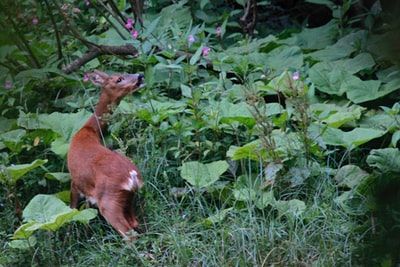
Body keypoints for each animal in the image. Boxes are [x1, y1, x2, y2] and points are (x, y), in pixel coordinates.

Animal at [68, 69, 145, 241]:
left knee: (129, 234)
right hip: (128, 198)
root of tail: (132, 176)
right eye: (119, 78)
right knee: (136, 224)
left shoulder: (75, 181)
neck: (89, 130)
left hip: (109, 201)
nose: (140, 75)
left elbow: (72, 209)